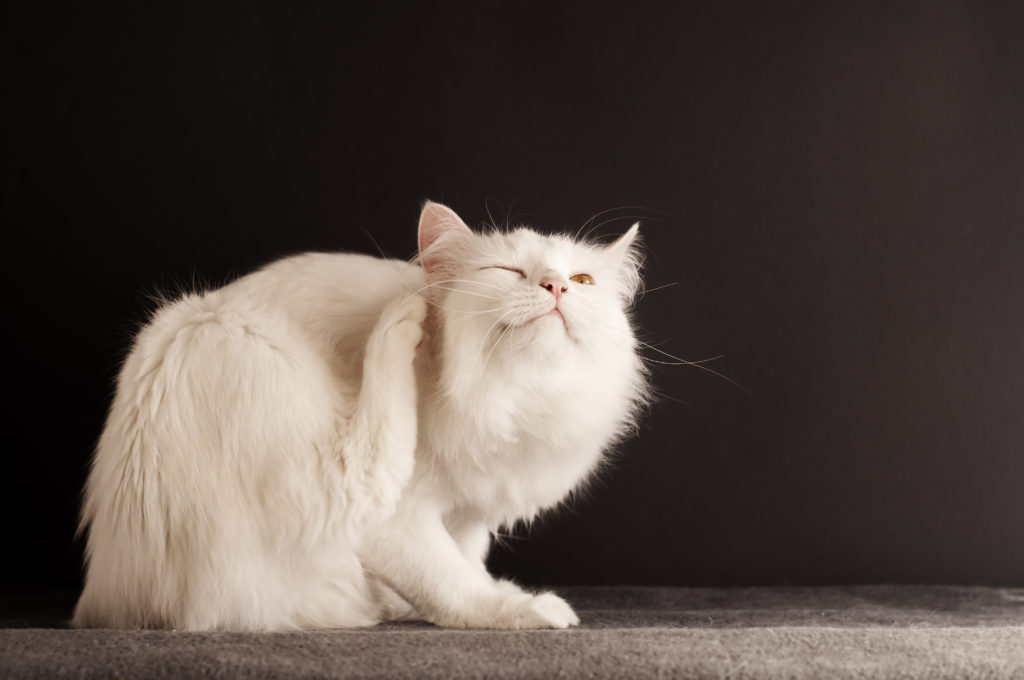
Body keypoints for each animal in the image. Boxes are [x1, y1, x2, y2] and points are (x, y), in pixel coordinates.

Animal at [74, 201, 647, 630]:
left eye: (582, 280)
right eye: (507, 272)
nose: (555, 287)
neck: (517, 400)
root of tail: (113, 599)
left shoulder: (467, 514)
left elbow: (464, 558)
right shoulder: (398, 520)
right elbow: (453, 583)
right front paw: (518, 608)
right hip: (241, 351)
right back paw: (401, 316)